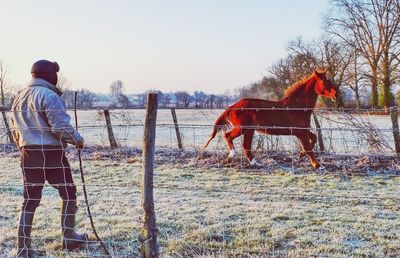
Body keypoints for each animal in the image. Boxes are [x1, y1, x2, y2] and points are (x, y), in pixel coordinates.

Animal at [203, 70, 338, 168]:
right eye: (324, 82)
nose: (336, 95)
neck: (298, 107)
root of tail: (231, 107)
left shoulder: (302, 130)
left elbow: (314, 138)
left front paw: (301, 155)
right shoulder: (300, 132)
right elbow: (308, 148)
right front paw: (317, 165)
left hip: (249, 130)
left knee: (246, 146)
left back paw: (255, 163)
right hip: (241, 128)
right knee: (228, 136)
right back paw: (232, 155)